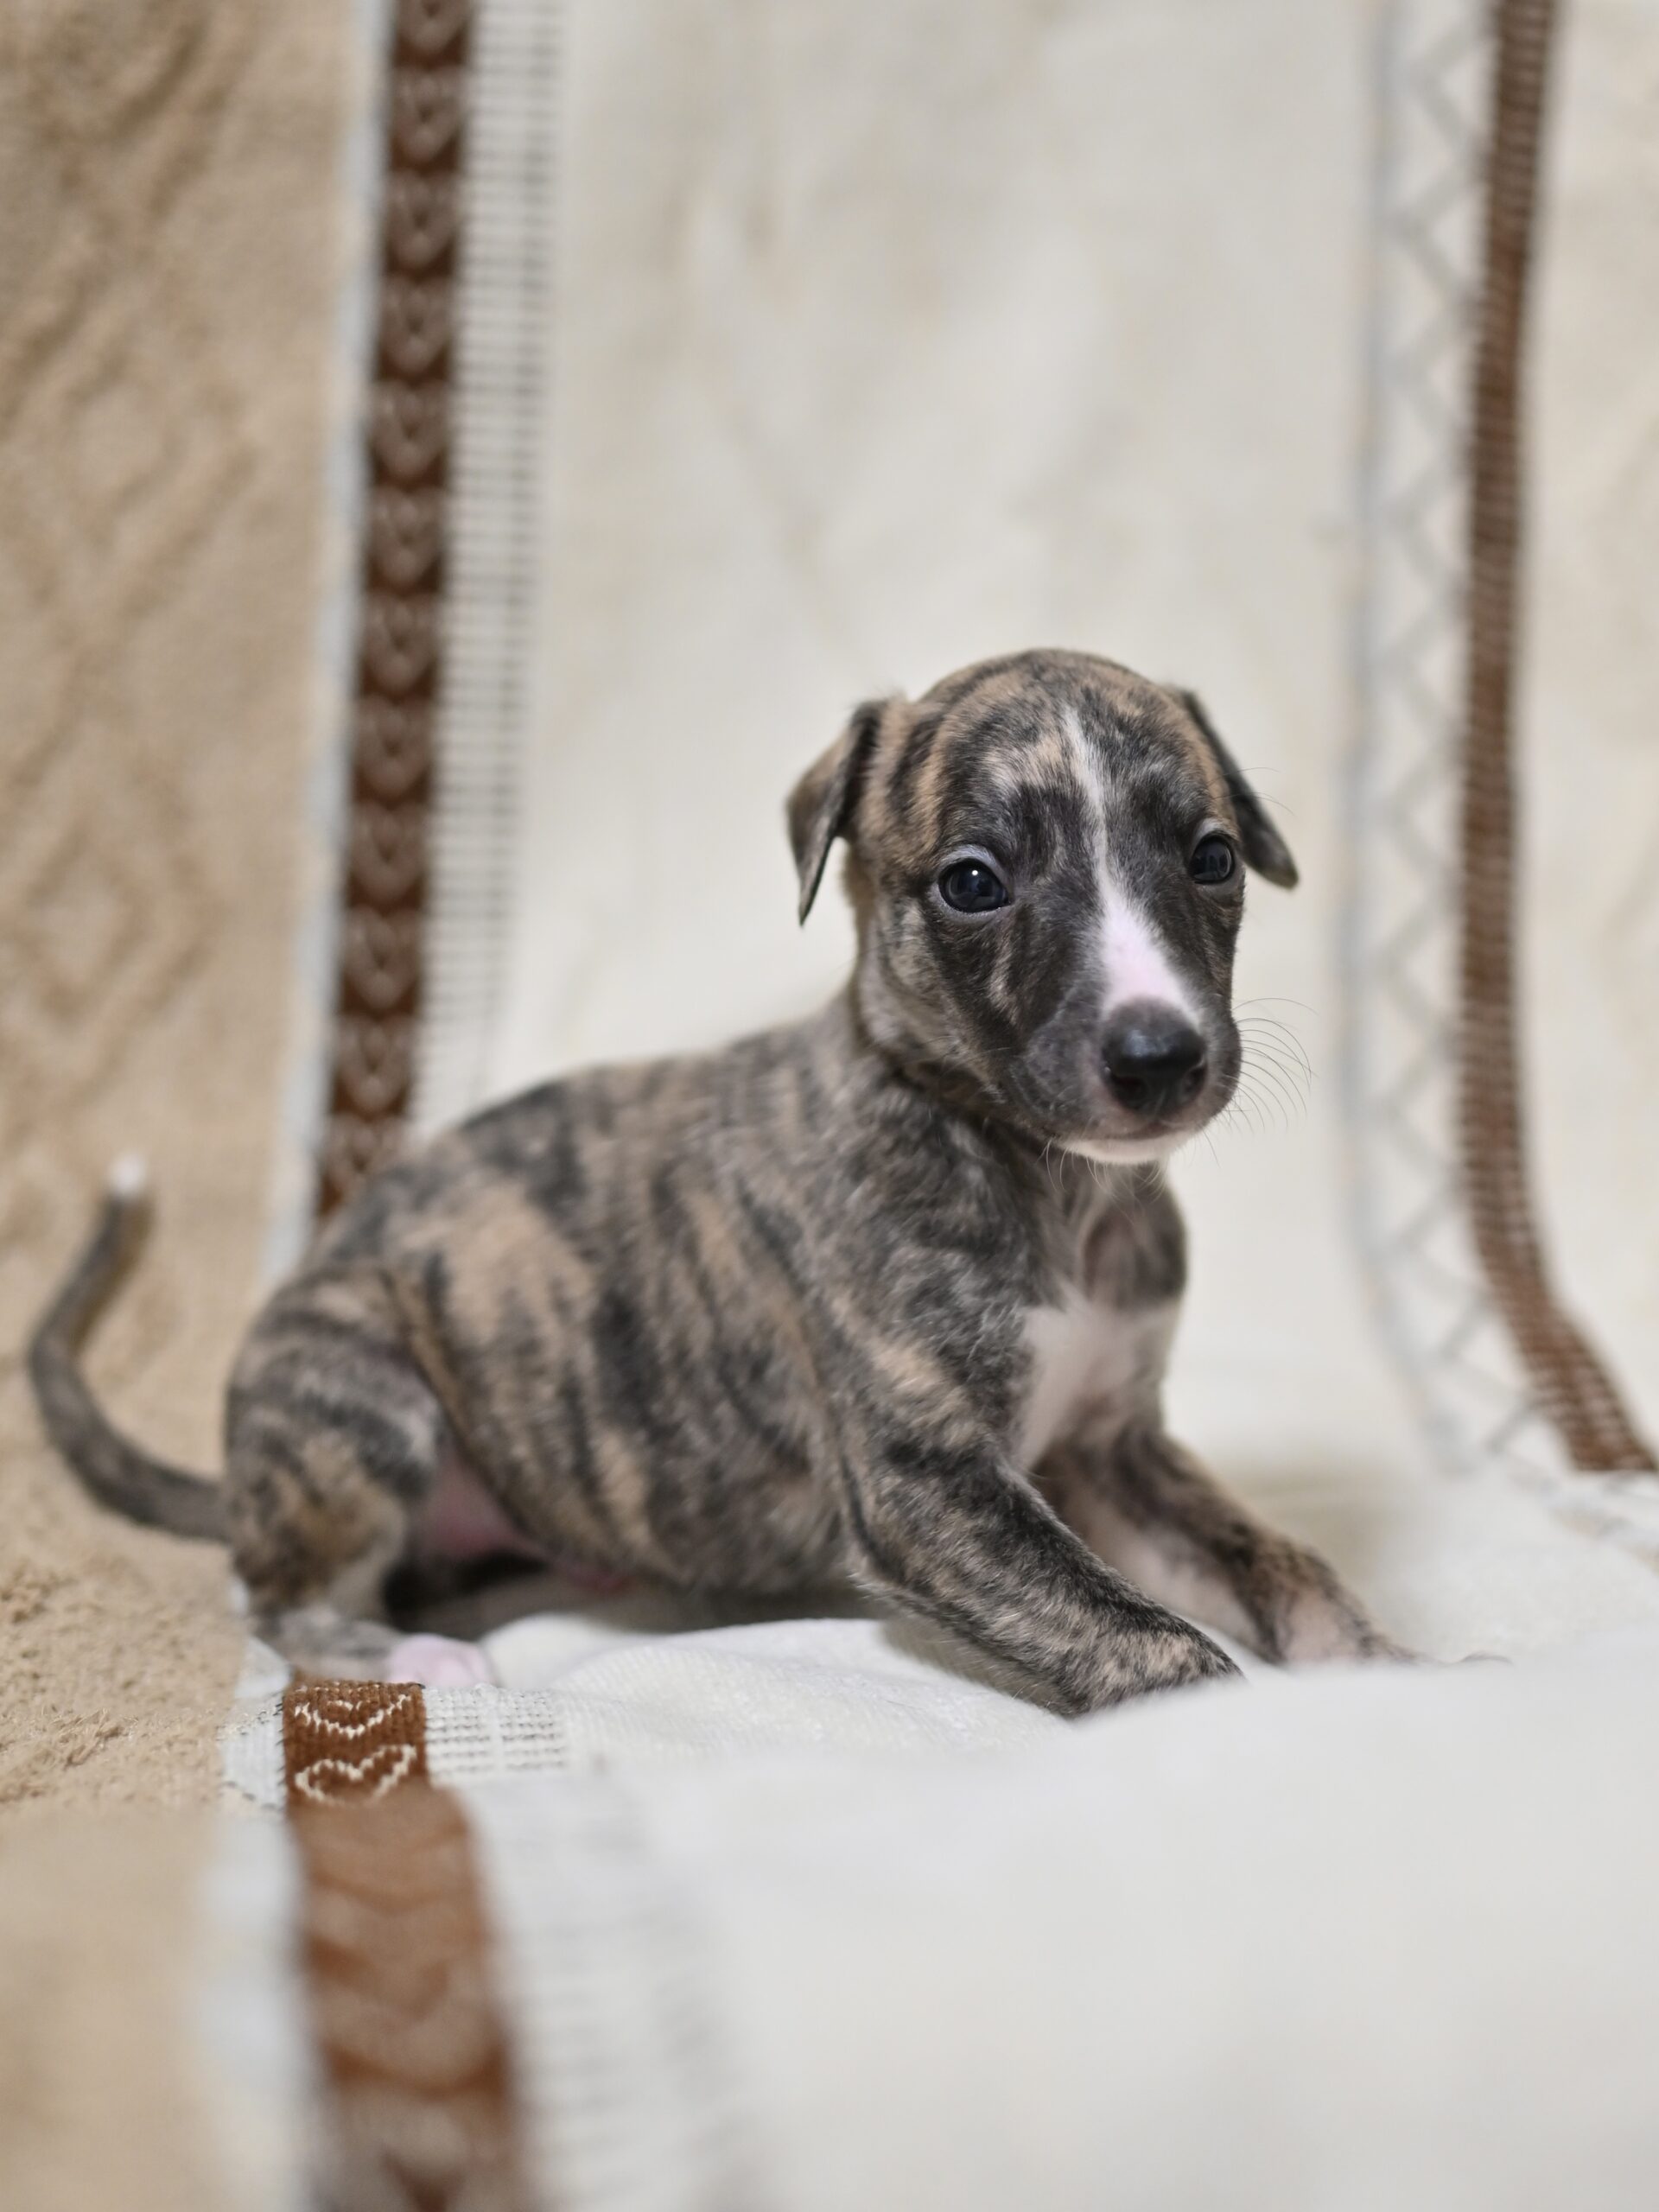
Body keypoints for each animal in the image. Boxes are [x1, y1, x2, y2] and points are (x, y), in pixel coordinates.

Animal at [31, 648, 1410, 1708]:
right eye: (973, 880)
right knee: (272, 1599)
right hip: (363, 1390)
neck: (1041, 1180)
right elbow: (1148, 1640)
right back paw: (416, 1655)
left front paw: (1404, 1685)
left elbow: (1283, 1565)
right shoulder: (931, 1492)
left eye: (1211, 856)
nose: (1159, 1055)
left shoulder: (1114, 1454)